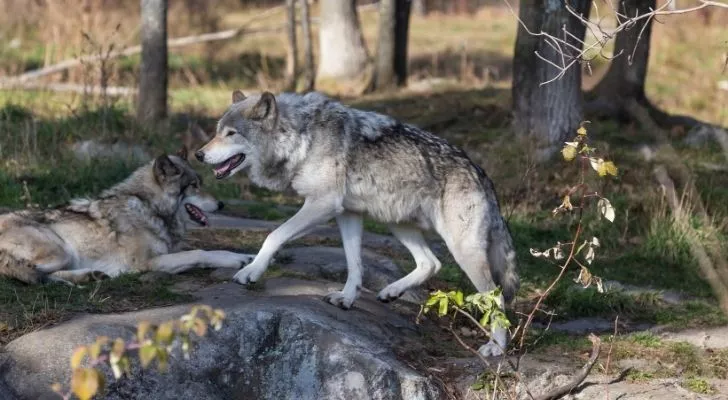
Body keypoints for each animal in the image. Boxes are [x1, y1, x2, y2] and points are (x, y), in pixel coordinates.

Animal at [0, 147, 256, 284]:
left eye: (200, 183)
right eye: (194, 186)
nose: (221, 204)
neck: (148, 207)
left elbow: (211, 251)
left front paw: (244, 257)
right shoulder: (147, 262)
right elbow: (199, 253)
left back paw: (91, 276)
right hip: (59, 251)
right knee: (24, 272)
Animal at [196, 91, 520, 356]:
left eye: (231, 133)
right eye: (216, 132)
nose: (199, 154)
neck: (302, 139)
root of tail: (481, 174)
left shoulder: (322, 205)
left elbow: (273, 236)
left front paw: (251, 272)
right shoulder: (348, 214)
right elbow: (354, 263)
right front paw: (347, 298)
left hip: (464, 252)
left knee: (495, 295)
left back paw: (496, 347)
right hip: (398, 224)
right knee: (431, 263)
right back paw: (391, 292)